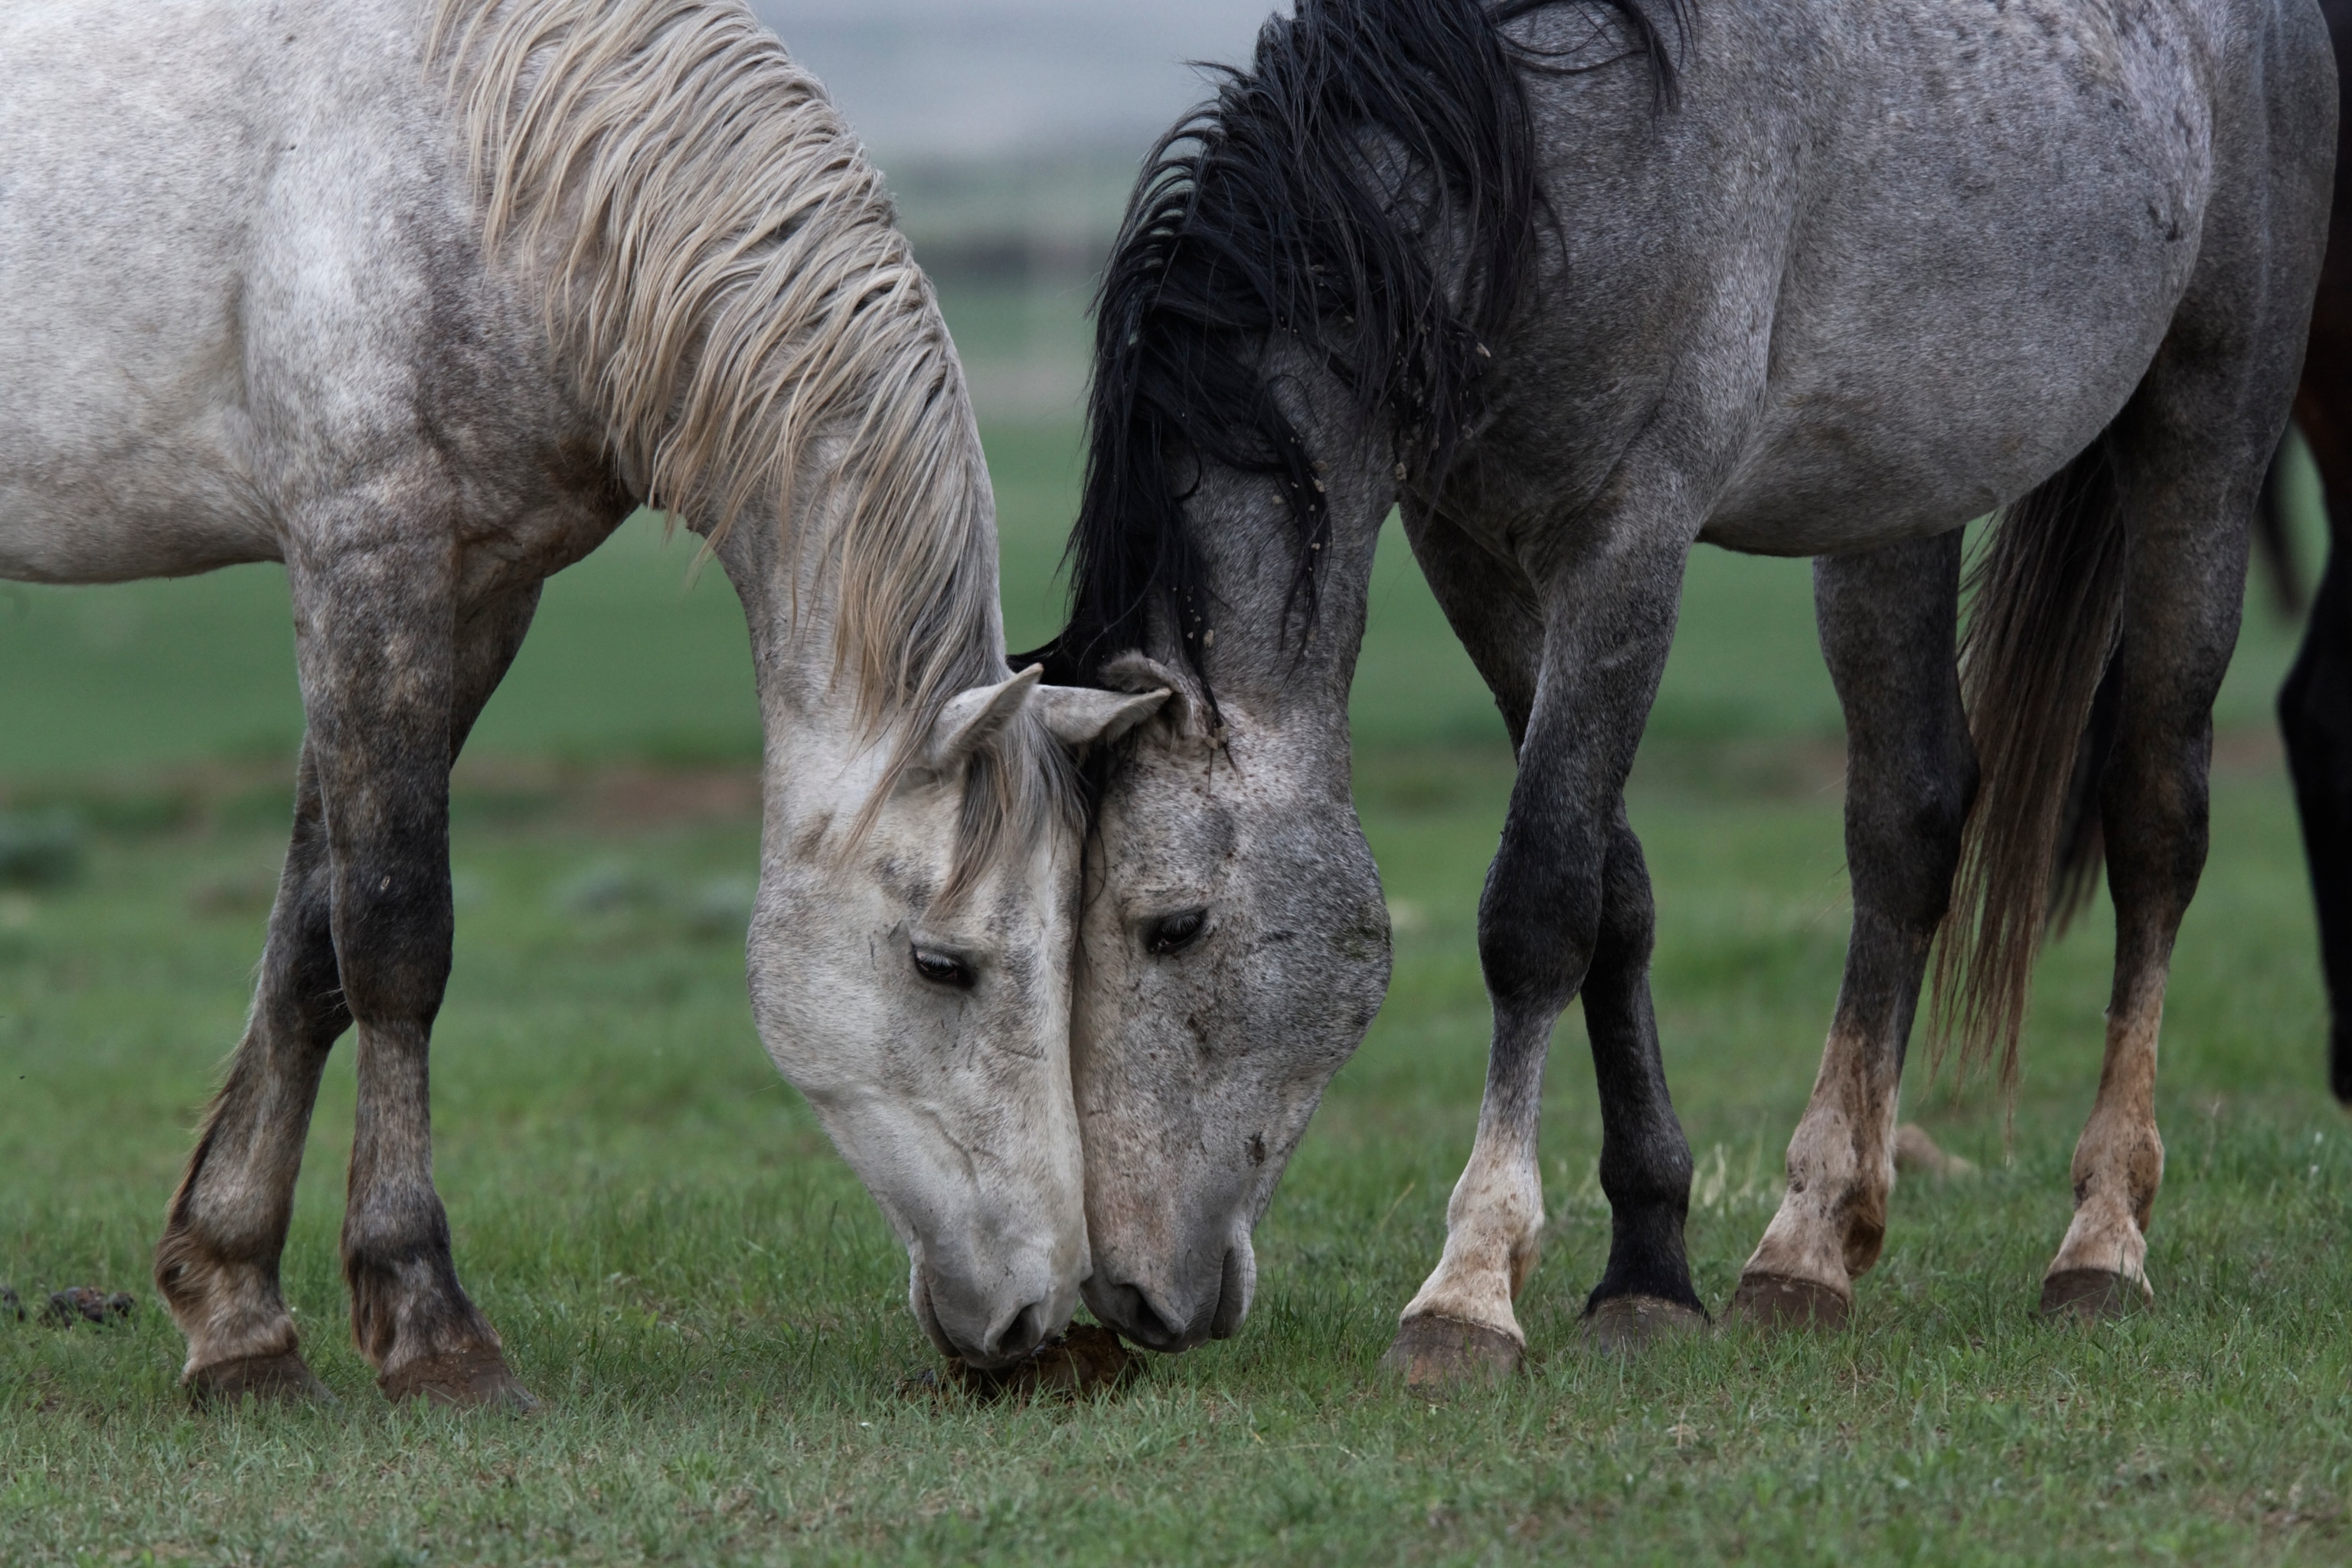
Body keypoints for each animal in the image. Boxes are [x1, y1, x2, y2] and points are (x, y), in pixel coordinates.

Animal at [0, 0, 1160, 1406]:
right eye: (944, 964)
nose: (1043, 1311)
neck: (499, 165)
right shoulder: (364, 557)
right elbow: (394, 936)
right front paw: (430, 1323)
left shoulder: (482, 589)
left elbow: (307, 945)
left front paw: (236, 1316)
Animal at [1026, 0, 2332, 1370]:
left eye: (1172, 925)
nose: (1131, 1295)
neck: (1528, 152)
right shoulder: (1471, 550)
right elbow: (1619, 891)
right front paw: (1648, 1266)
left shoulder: (1627, 542)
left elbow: (1540, 901)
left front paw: (1470, 1288)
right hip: (1890, 504)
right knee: (1908, 822)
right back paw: (1810, 1246)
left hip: (2209, 433)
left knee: (2155, 817)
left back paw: (2101, 1239)